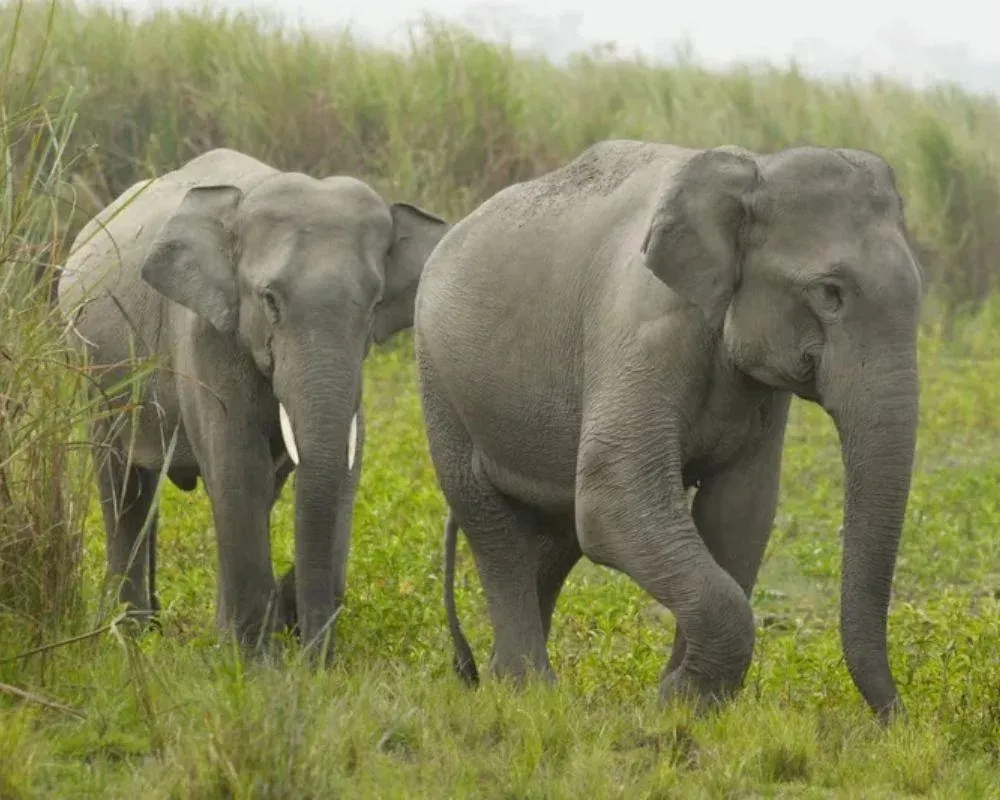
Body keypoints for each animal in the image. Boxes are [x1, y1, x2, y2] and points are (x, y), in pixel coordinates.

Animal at [57, 147, 449, 656]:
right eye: (269, 300)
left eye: (375, 303)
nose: (314, 660)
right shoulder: (204, 334)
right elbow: (238, 467)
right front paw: (253, 658)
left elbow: (329, 466)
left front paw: (249, 641)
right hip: (94, 371)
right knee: (124, 487)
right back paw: (132, 635)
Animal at [417, 139, 923, 723]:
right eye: (830, 292)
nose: (895, 721)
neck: (753, 171)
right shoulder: (644, 329)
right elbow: (614, 499)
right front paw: (678, 702)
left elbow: (739, 512)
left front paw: (685, 705)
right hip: (439, 382)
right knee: (493, 526)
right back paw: (529, 692)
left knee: (554, 535)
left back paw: (506, 682)